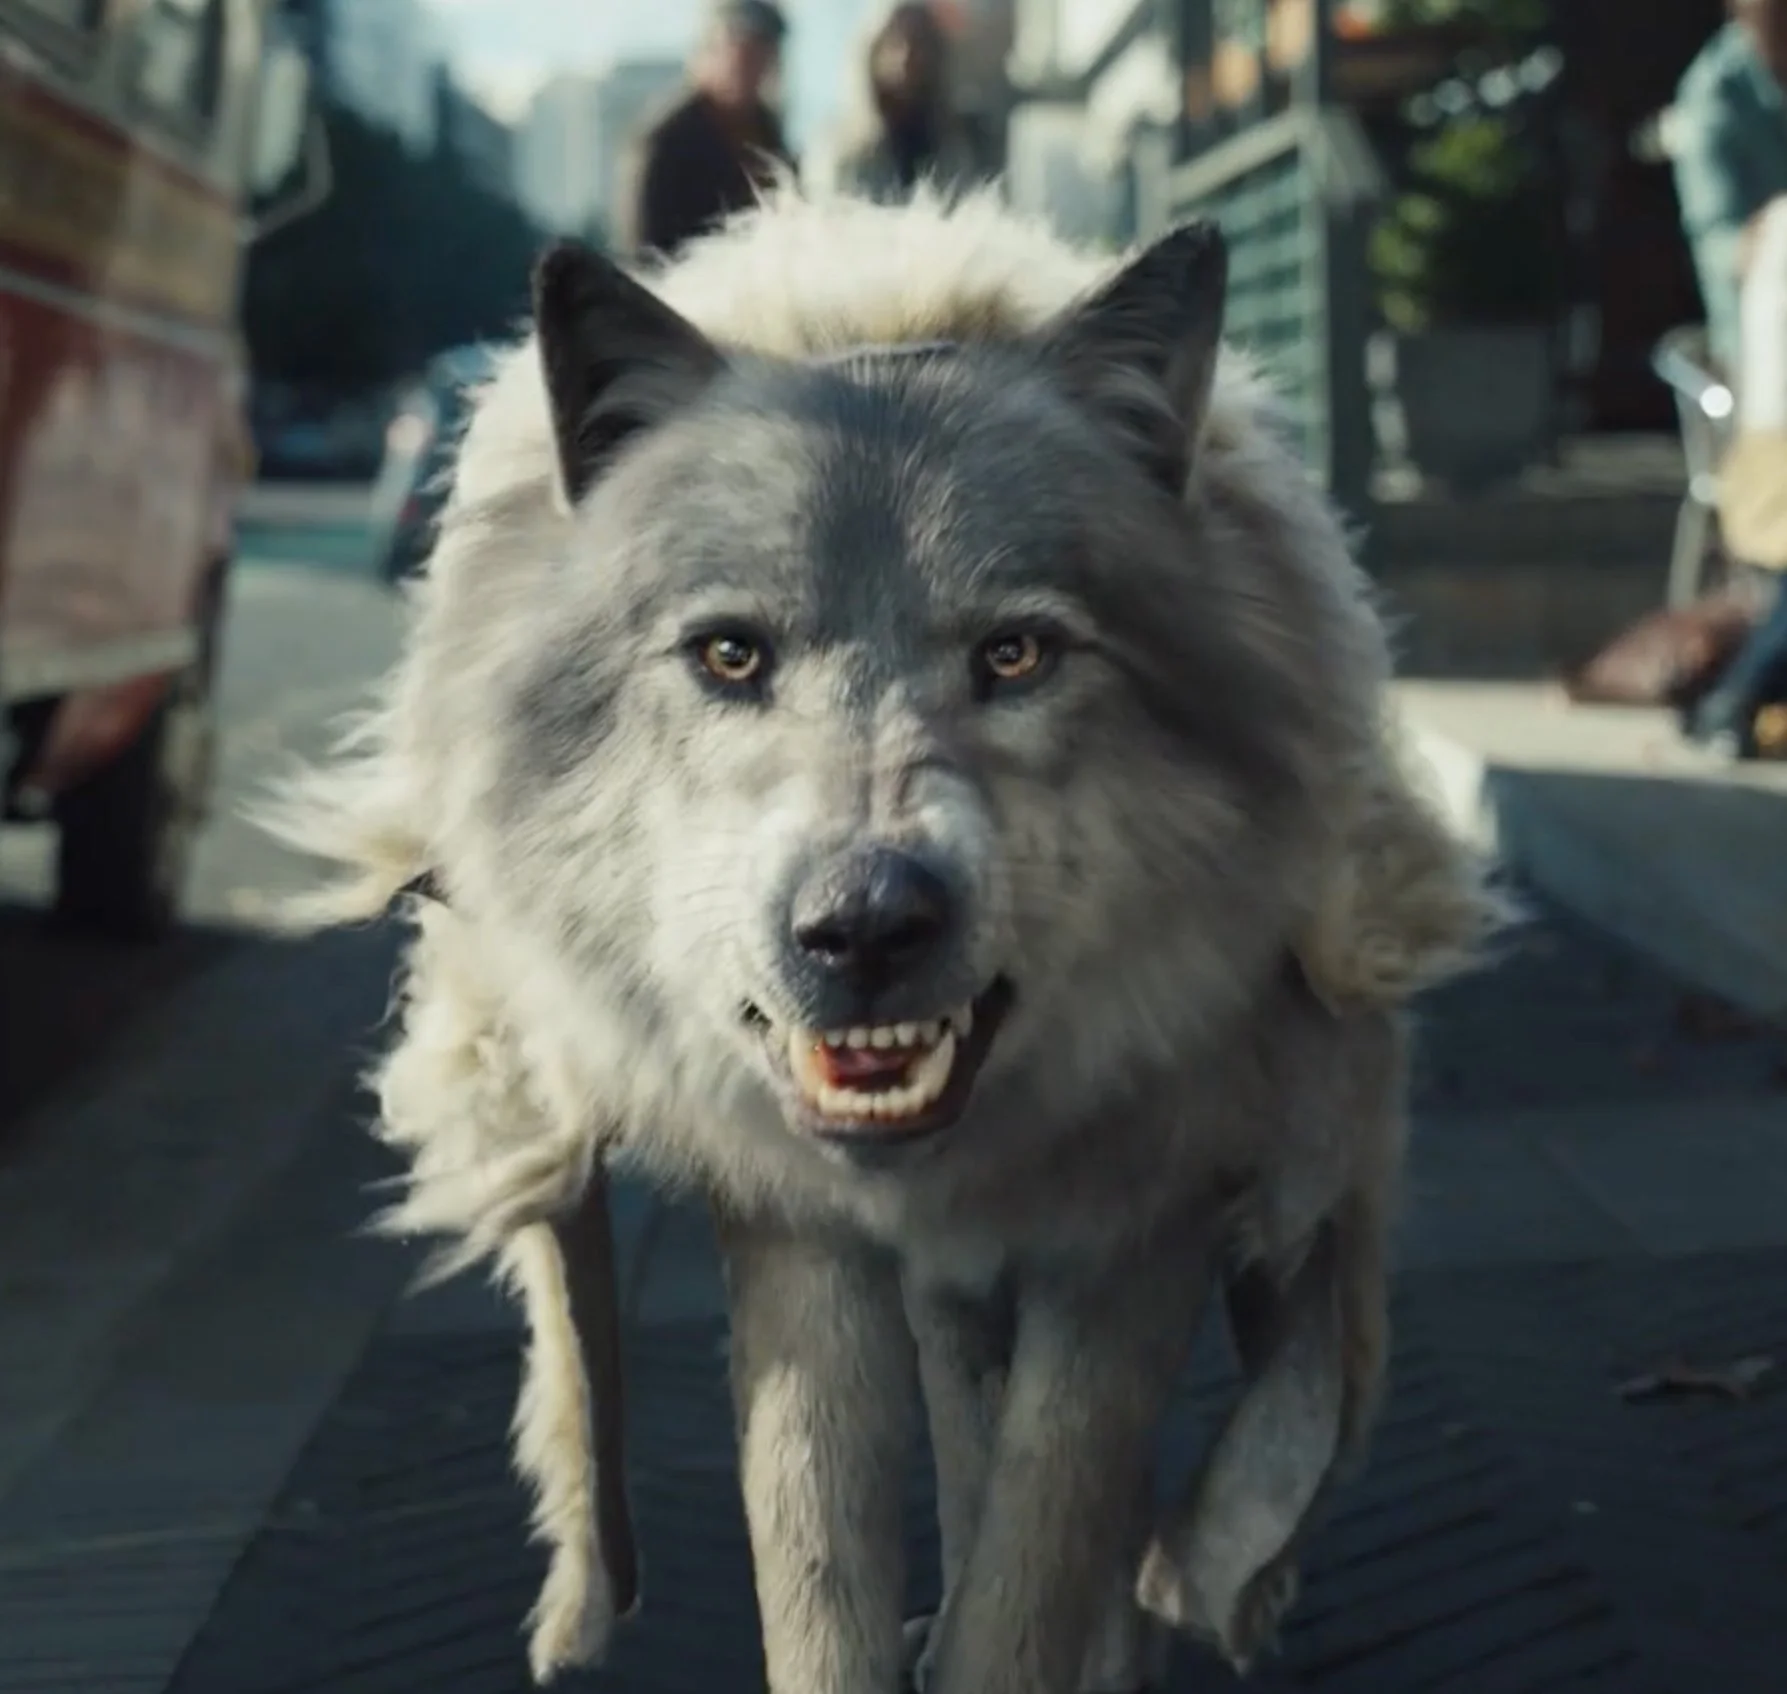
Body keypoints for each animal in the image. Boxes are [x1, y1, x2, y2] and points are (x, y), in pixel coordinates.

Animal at [267, 186, 1505, 1693]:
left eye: (1016, 654)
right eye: (729, 655)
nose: (860, 925)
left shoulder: (1139, 1215)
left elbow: (1036, 1567)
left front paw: (1041, 1633)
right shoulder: (797, 1236)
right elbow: (819, 1576)